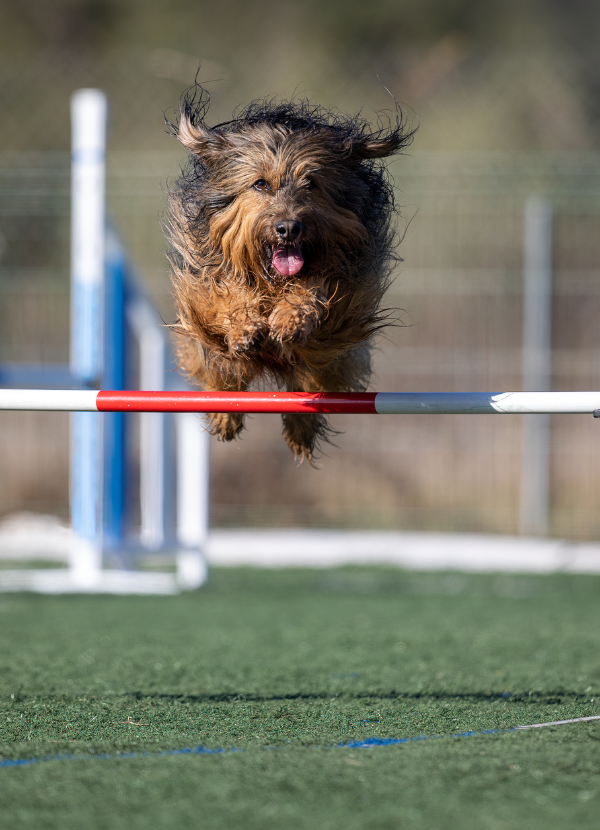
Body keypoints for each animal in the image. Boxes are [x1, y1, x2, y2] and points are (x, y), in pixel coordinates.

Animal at [166, 86, 414, 462]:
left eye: (311, 183)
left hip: (330, 360)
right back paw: (225, 415)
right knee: (223, 376)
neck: (273, 281)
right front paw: (245, 328)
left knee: (309, 385)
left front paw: (289, 319)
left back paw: (300, 430)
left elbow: (315, 289)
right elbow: (229, 294)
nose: (288, 228)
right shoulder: (205, 292)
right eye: (260, 184)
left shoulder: (344, 301)